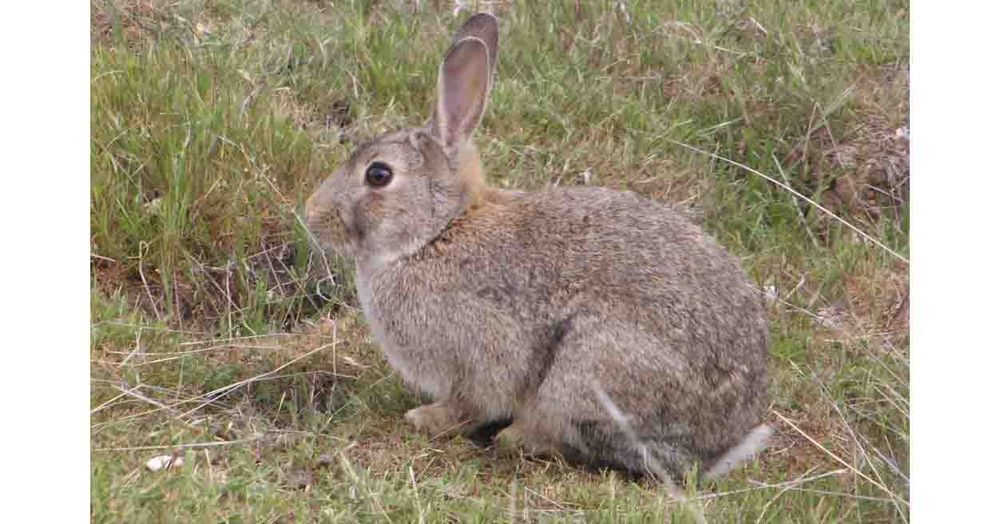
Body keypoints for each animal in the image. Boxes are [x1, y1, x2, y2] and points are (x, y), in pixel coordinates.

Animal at [304, 12, 771, 480]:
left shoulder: (479, 351)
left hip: (591, 367)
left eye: (378, 174)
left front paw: (426, 418)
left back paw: (515, 437)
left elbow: (471, 403)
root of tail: (720, 444)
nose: (311, 214)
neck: (437, 231)